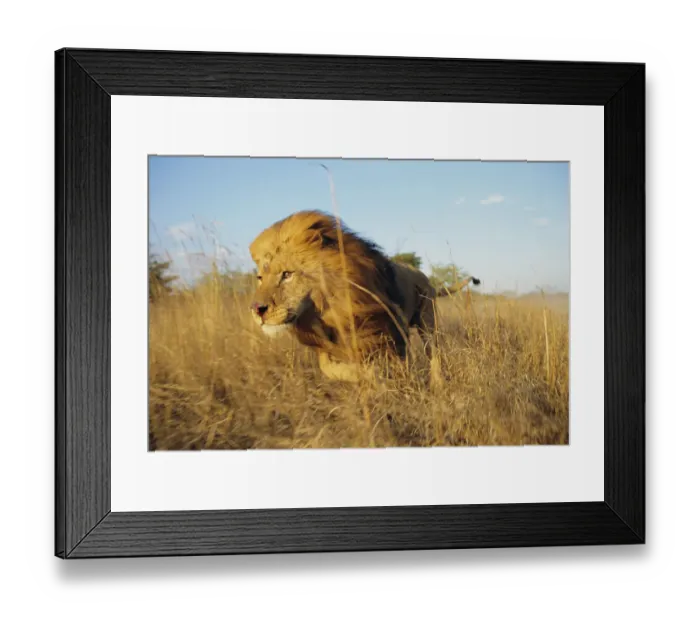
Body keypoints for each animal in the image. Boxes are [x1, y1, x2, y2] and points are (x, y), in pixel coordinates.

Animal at [248, 210, 480, 384]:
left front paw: (383, 379)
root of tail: (426, 277)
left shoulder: (389, 327)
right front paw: (368, 377)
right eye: (260, 278)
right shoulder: (328, 344)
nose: (257, 310)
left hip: (427, 322)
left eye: (287, 274)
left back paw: (437, 384)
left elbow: (395, 362)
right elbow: (329, 368)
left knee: (433, 353)